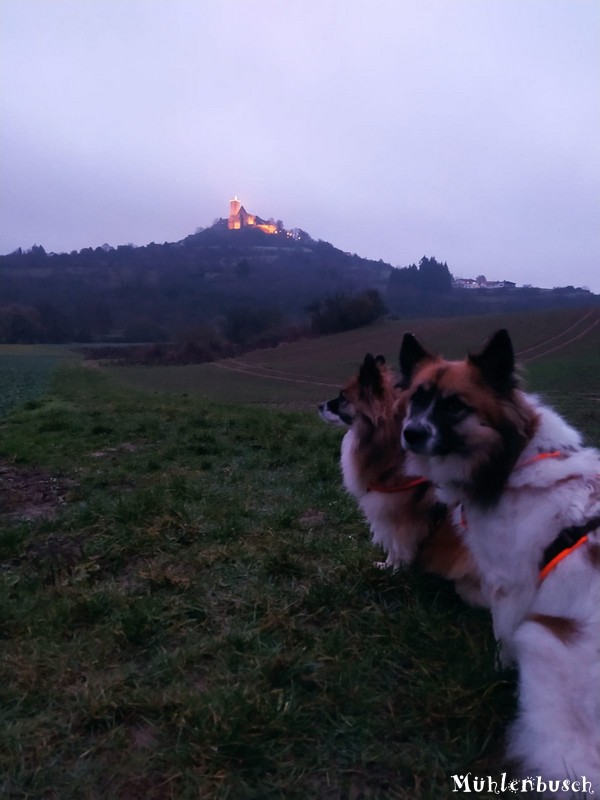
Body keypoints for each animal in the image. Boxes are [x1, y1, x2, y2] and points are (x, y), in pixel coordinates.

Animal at [318, 352, 482, 608]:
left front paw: (395, 573)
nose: (319, 406)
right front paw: (385, 566)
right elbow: (393, 548)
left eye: (342, 397)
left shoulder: (399, 516)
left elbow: (399, 546)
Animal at [398, 328, 600, 792]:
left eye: (456, 405)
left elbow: (501, 636)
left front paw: (497, 672)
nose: (410, 433)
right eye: (417, 398)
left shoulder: (508, 584)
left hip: (541, 637)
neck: (511, 460)